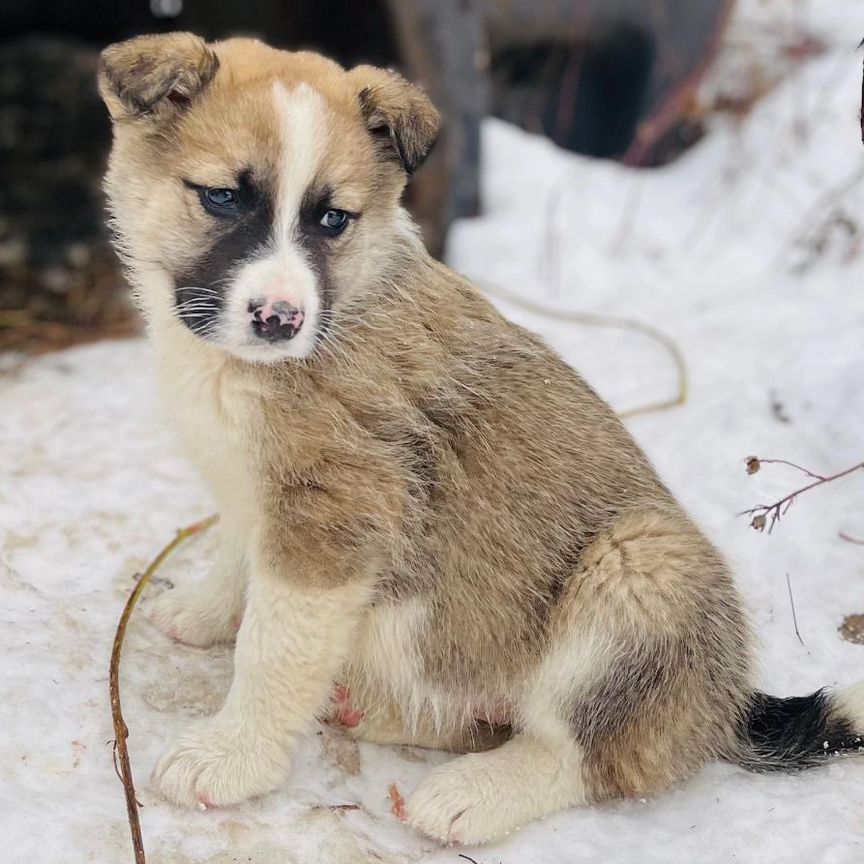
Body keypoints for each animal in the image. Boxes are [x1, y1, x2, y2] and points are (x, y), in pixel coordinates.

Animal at [98, 33, 860, 844]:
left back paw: (473, 794)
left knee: (583, 754)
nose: (280, 318)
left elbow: (274, 650)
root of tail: (722, 704)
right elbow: (238, 559)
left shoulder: (336, 509)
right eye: (222, 198)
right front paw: (205, 612)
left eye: (332, 219)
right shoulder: (258, 489)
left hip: (640, 568)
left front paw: (232, 755)